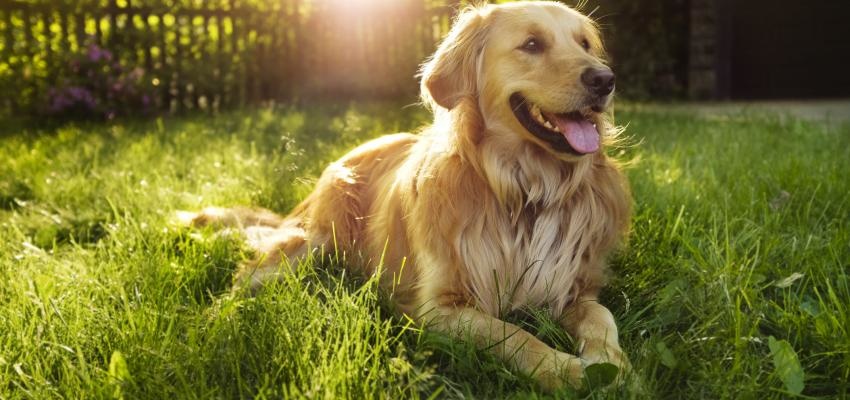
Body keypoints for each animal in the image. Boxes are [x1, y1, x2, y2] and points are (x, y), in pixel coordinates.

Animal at [179, 1, 628, 392]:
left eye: (585, 44)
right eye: (532, 44)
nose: (605, 80)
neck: (525, 191)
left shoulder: (573, 286)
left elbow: (601, 316)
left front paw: (612, 364)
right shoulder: (439, 307)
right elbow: (514, 334)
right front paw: (567, 370)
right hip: (309, 243)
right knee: (241, 282)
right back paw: (213, 326)